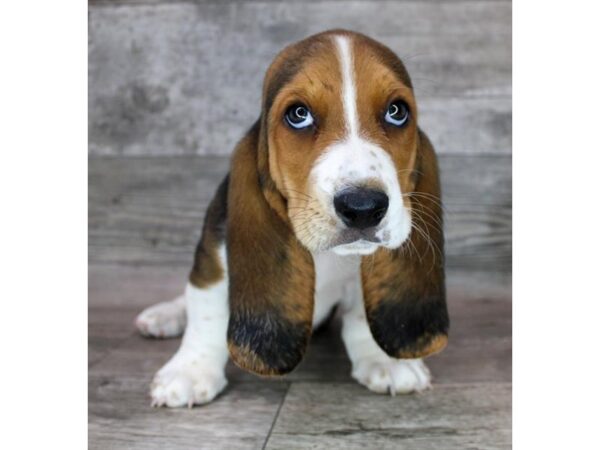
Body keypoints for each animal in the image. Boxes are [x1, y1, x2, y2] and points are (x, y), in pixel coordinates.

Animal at [135, 29, 446, 408]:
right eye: (298, 114)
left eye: (397, 112)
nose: (362, 206)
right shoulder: (215, 252)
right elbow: (206, 311)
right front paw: (190, 371)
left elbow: (362, 309)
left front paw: (384, 360)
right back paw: (165, 315)